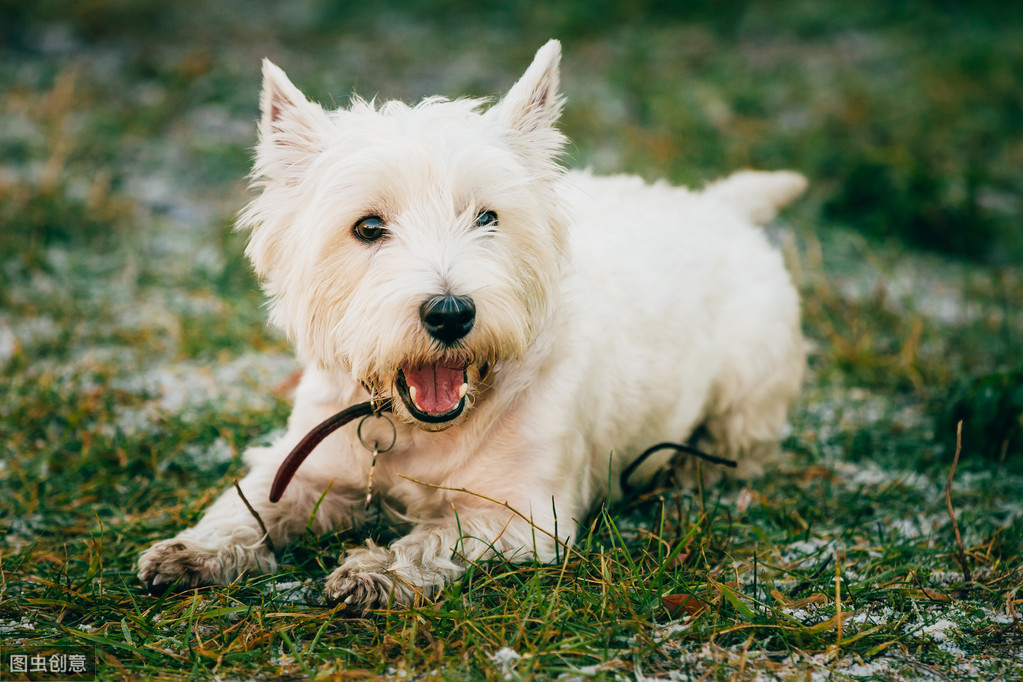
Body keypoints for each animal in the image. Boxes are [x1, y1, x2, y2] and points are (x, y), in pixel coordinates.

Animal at [138, 40, 806, 609]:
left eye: (487, 217)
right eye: (368, 227)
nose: (451, 312)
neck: (417, 433)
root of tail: (716, 205)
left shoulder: (523, 513)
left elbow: (438, 532)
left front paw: (375, 570)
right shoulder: (306, 462)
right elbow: (250, 504)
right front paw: (193, 550)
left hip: (750, 378)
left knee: (739, 439)